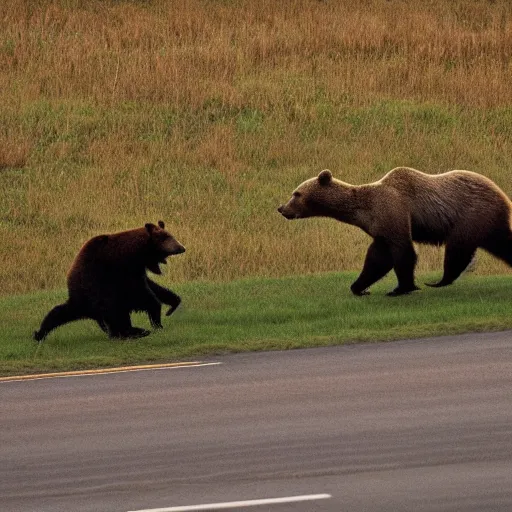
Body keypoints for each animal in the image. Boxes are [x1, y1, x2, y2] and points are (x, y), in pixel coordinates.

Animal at [34, 219, 186, 340]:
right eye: (165, 237)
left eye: (170, 235)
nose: (181, 247)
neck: (136, 254)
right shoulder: (119, 271)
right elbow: (143, 295)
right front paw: (156, 319)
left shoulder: (136, 271)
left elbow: (152, 286)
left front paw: (172, 303)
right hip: (93, 292)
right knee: (114, 311)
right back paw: (134, 331)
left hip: (84, 299)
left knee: (59, 312)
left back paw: (40, 333)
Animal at [278, 168, 512, 296]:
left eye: (296, 193)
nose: (281, 208)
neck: (363, 211)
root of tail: (502, 194)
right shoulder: (379, 227)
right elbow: (377, 259)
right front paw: (359, 287)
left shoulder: (393, 210)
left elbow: (402, 251)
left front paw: (401, 288)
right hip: (488, 224)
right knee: (503, 244)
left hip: (470, 215)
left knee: (457, 249)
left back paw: (439, 280)